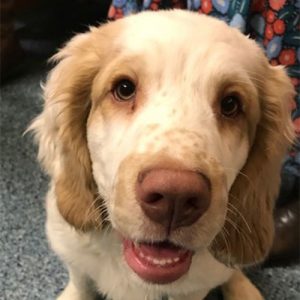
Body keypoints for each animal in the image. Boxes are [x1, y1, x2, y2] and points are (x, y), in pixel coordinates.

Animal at [29, 9, 294, 300]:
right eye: (124, 88)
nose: (175, 197)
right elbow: (81, 283)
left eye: (231, 104)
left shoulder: (194, 288)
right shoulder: (74, 256)